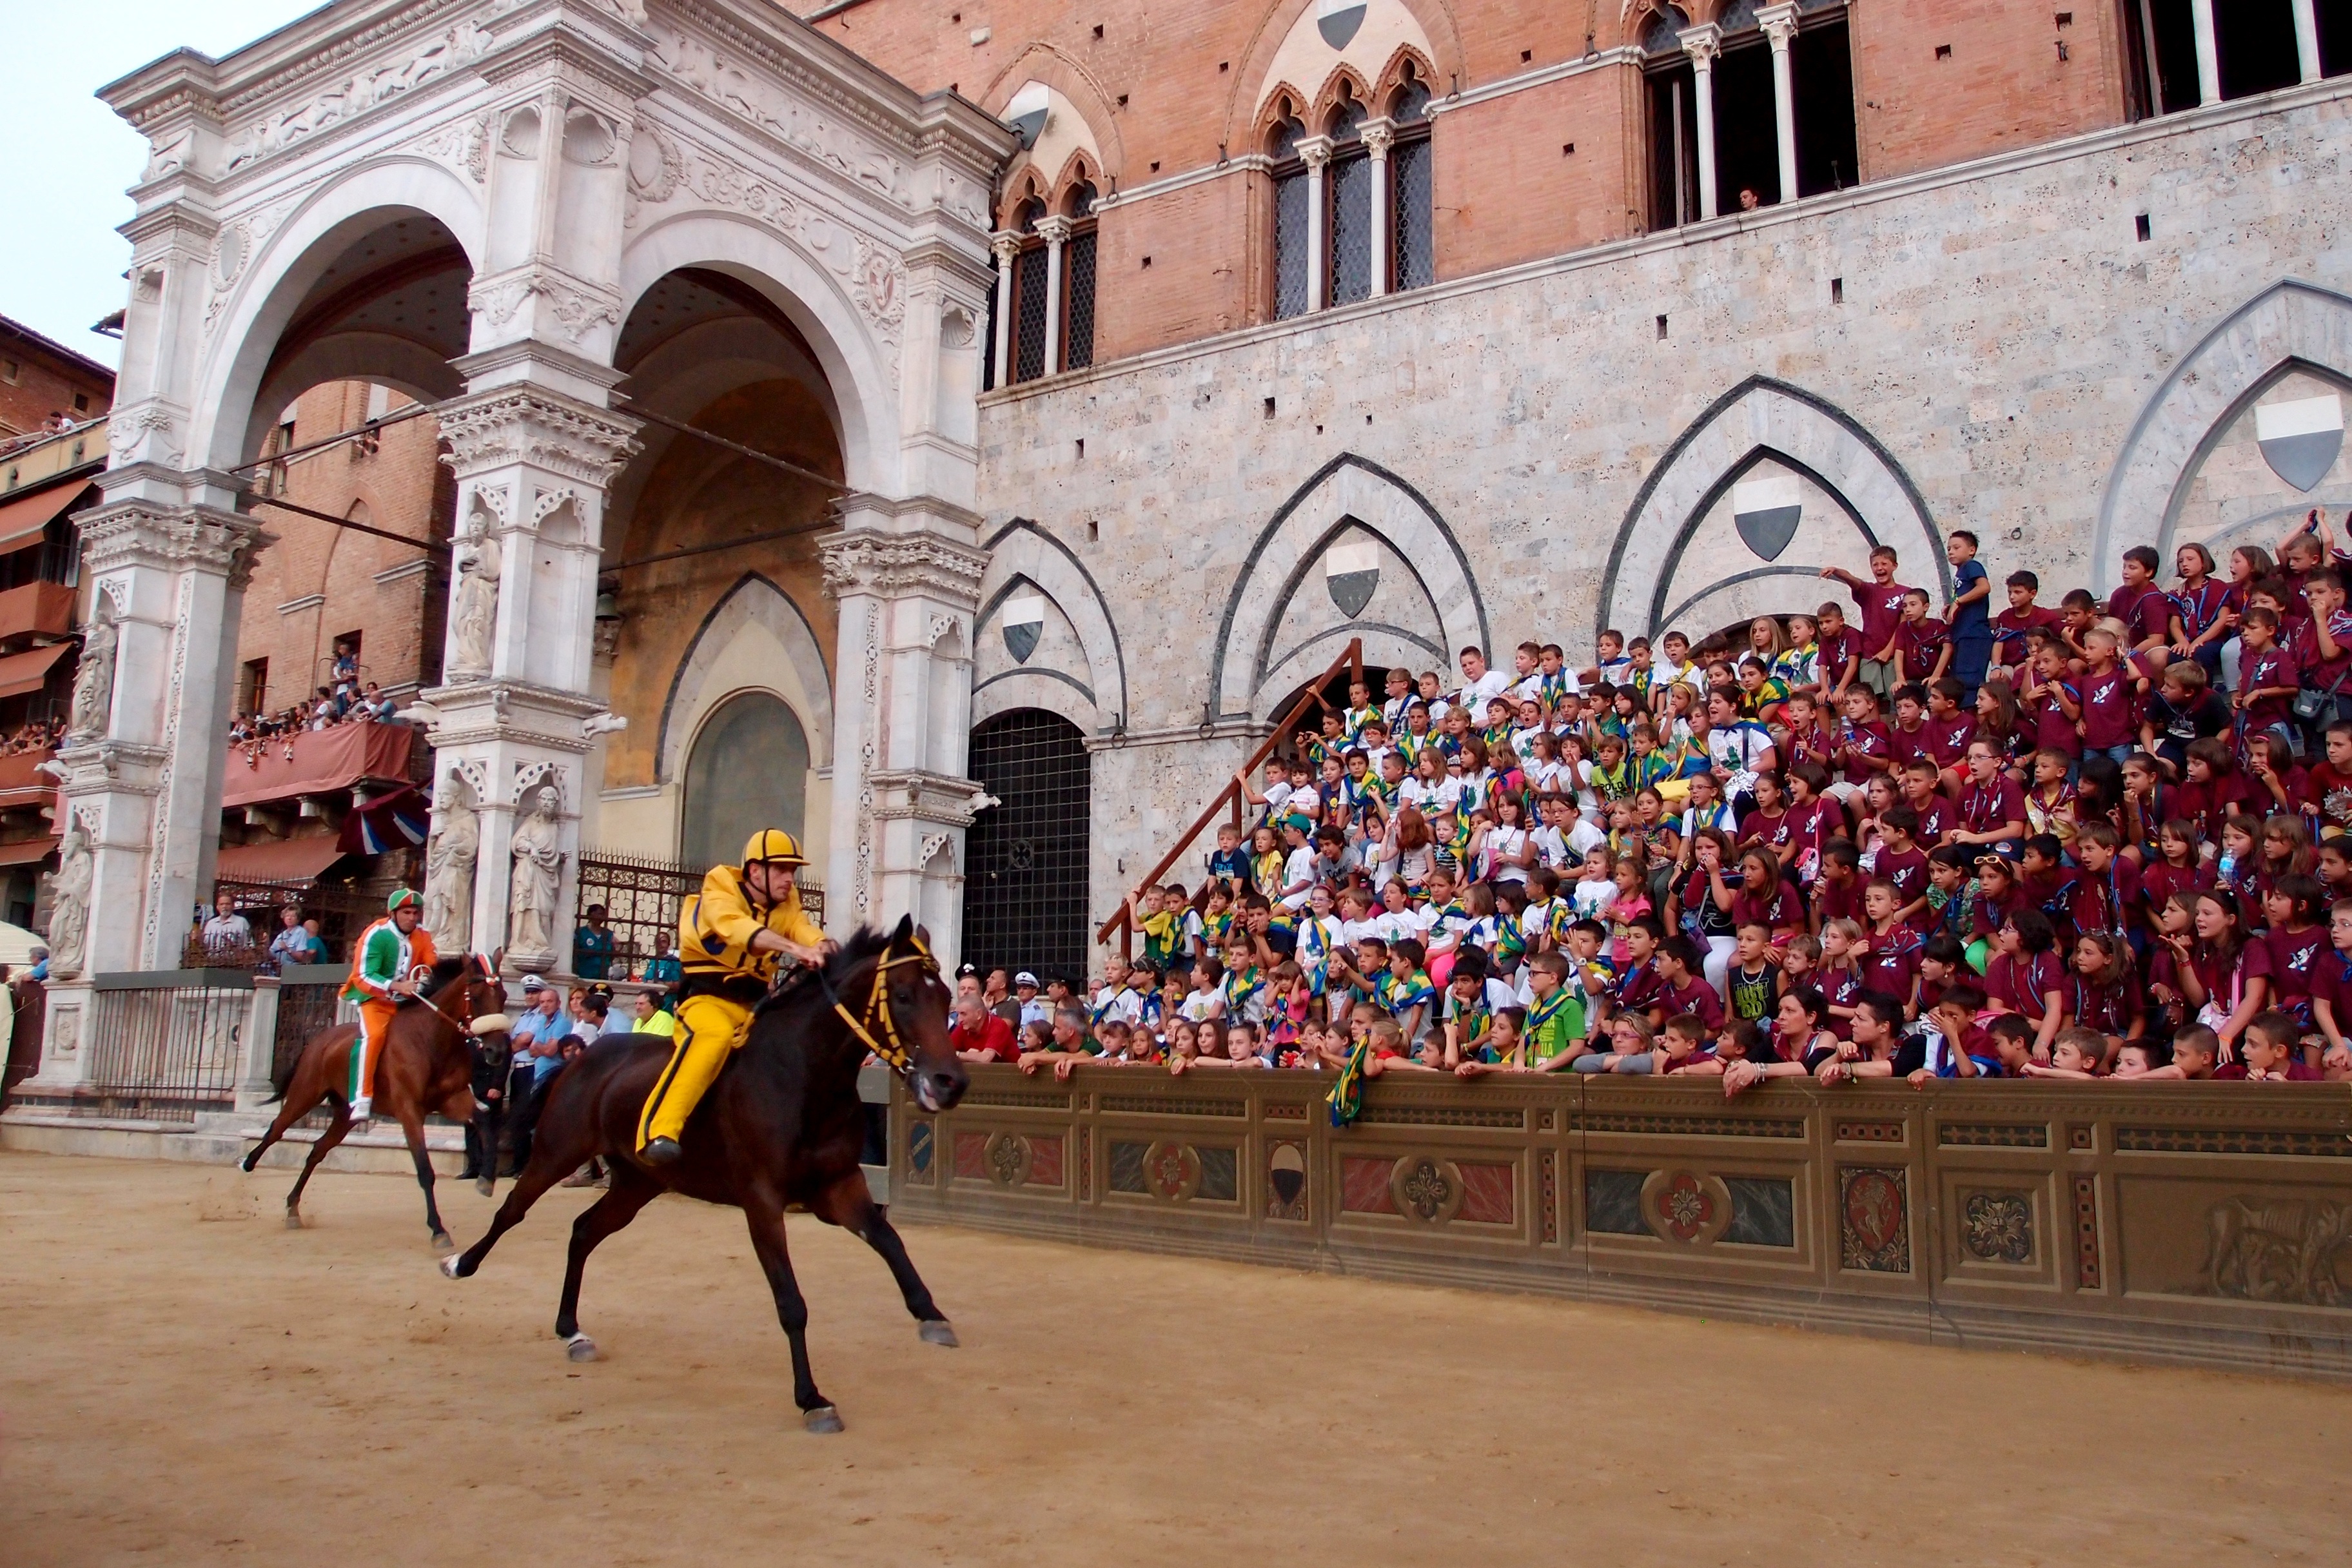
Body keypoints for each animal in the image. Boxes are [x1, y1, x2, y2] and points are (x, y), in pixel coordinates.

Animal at [240, 950, 513, 1260]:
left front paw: (486, 1180)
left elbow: (485, 1125)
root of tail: (320, 1040)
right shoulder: (409, 1112)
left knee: (317, 1151)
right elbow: (425, 1171)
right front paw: (438, 1230)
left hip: (344, 1115)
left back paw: (293, 1208)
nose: (497, 1051)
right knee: (276, 1129)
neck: (431, 1041)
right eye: (476, 997)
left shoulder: (454, 1100)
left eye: (503, 995)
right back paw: (247, 1164)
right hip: (305, 1095)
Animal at [442, 921, 964, 1438]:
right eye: (903, 995)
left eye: (944, 998)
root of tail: (584, 1057)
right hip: (556, 1153)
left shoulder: (840, 1187)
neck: (802, 1076)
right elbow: (791, 1302)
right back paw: (460, 1263)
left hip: (637, 1183)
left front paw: (932, 1316)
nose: (950, 1082)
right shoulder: (762, 1201)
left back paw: (572, 1331)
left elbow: (890, 1241)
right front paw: (812, 1399)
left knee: (584, 1231)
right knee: (513, 1211)